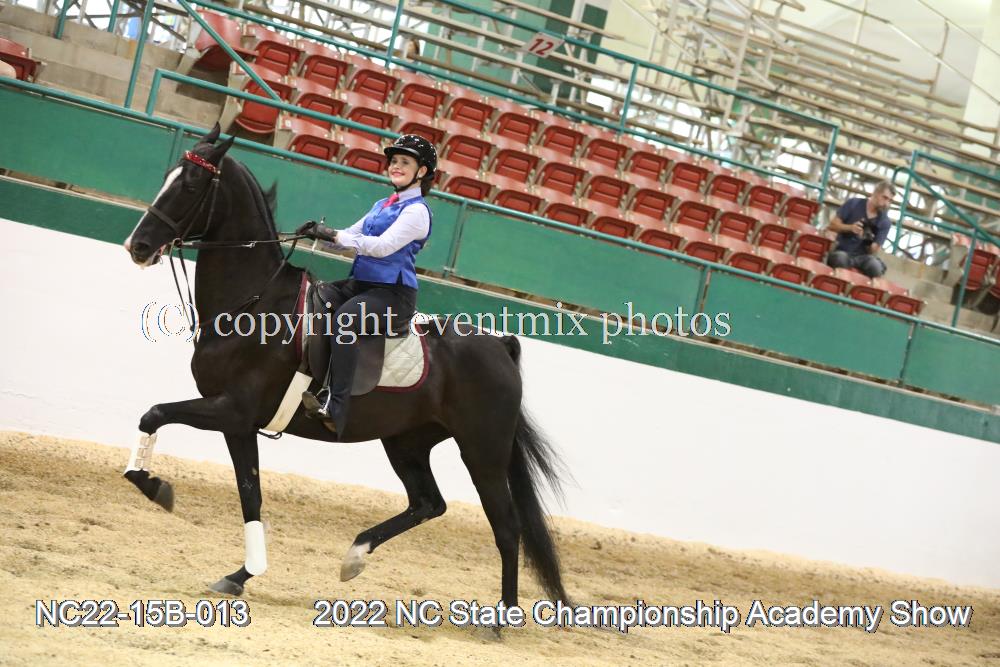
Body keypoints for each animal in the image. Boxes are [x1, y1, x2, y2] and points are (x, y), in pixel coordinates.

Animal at [121, 124, 569, 609]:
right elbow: (249, 496)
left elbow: (154, 414)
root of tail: (499, 345)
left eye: (189, 185)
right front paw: (241, 575)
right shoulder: (237, 423)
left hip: (482, 451)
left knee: (506, 528)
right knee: (429, 503)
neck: (255, 303)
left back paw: (502, 615)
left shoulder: (231, 409)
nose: (138, 246)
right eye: (168, 176)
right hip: (407, 443)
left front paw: (157, 489)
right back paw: (355, 556)